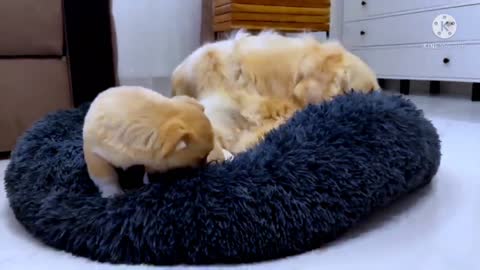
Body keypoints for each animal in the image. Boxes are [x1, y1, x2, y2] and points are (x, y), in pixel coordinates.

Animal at [83, 86, 218, 198]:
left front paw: (147, 179)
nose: (206, 166)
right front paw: (113, 193)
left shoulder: (151, 158)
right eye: (201, 158)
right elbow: (106, 177)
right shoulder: (94, 155)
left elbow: (150, 168)